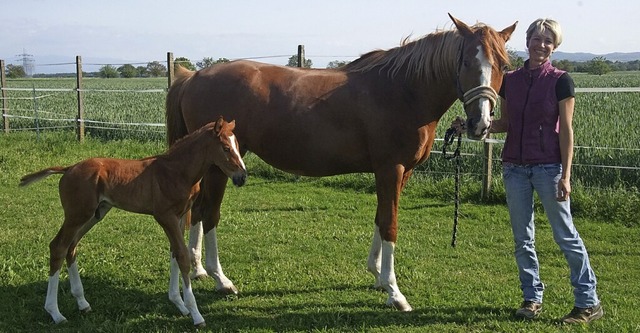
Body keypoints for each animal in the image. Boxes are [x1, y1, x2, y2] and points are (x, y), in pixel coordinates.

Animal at [19, 117, 245, 326]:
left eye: (238, 145)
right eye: (226, 148)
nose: (242, 176)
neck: (177, 171)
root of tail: (68, 168)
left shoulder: (180, 216)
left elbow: (174, 253)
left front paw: (179, 304)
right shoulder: (165, 216)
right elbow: (181, 256)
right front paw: (195, 313)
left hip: (94, 215)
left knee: (71, 247)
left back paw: (82, 303)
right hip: (77, 215)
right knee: (58, 246)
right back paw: (55, 313)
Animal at [168, 14, 516, 310]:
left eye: (503, 65)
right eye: (466, 61)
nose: (481, 124)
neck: (404, 91)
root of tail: (194, 76)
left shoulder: (399, 173)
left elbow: (380, 217)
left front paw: (377, 276)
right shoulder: (391, 169)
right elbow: (390, 224)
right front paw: (395, 292)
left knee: (198, 211)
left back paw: (197, 269)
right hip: (219, 167)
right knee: (210, 214)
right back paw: (221, 279)